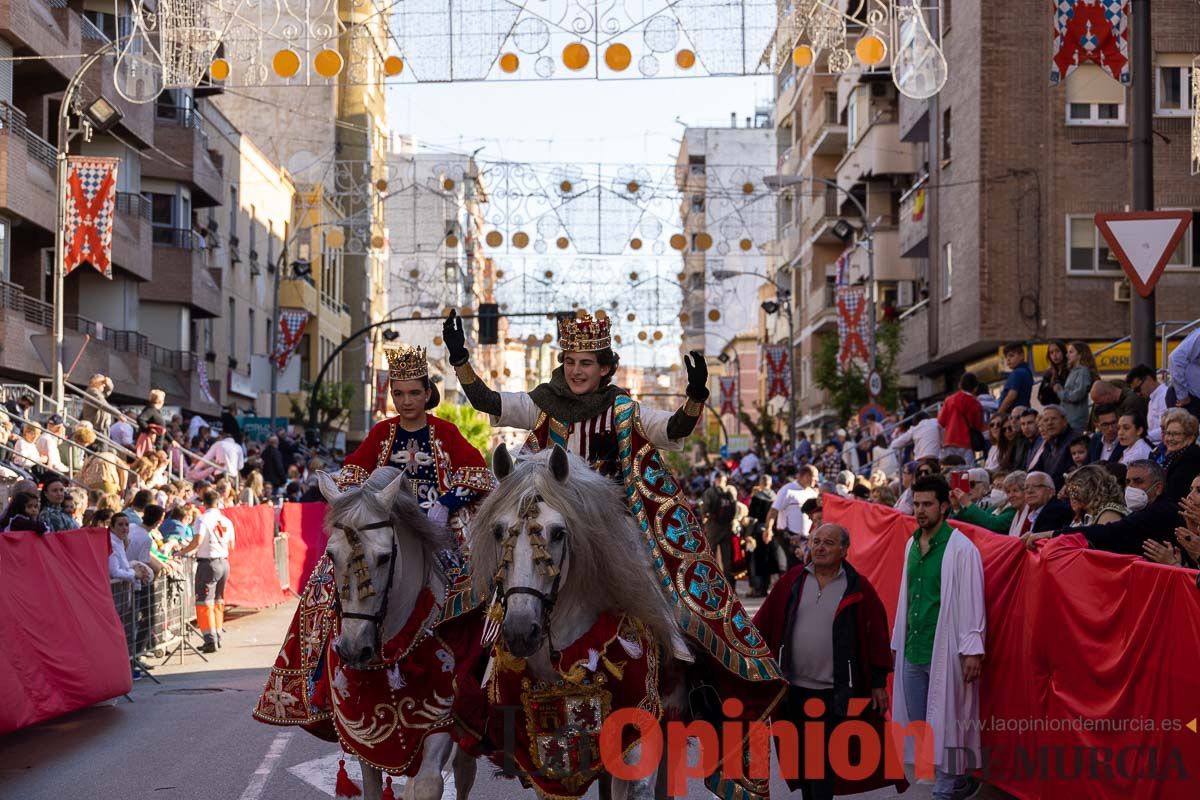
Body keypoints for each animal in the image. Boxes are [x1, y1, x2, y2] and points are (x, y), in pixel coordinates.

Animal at [319, 470, 477, 800]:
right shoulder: (365, 738)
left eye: (383, 557)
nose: (354, 649)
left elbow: (428, 784)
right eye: (331, 553)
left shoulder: (439, 718)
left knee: (463, 772)